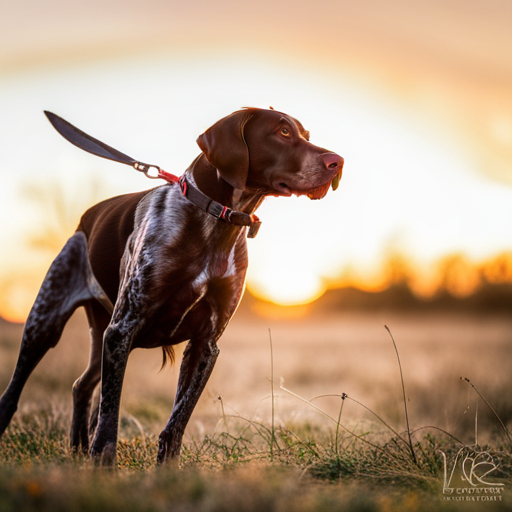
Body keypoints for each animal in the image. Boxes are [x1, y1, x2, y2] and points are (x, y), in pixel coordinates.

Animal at [1, 107, 344, 464]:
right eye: (282, 132)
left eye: (305, 134)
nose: (339, 162)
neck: (216, 220)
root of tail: (85, 219)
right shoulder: (123, 329)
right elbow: (109, 418)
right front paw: (104, 466)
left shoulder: (205, 342)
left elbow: (176, 422)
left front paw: (167, 470)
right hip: (48, 323)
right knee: (16, 391)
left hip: (104, 336)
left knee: (82, 385)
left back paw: (77, 449)